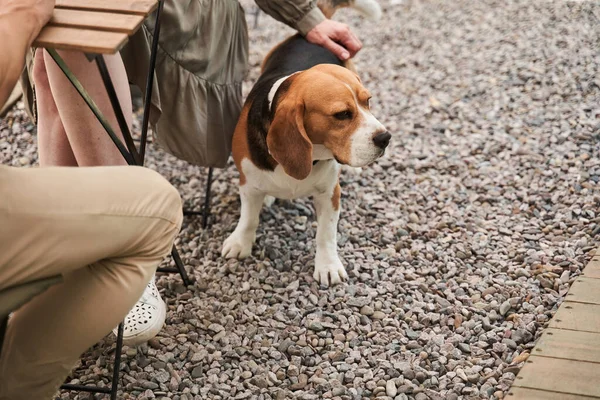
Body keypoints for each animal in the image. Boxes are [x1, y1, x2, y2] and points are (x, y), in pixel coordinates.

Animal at [221, 0, 390, 288]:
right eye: (342, 114)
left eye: (368, 102)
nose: (385, 138)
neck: (311, 155)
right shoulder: (247, 183)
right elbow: (248, 218)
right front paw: (240, 242)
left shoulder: (330, 193)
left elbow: (326, 233)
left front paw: (328, 266)